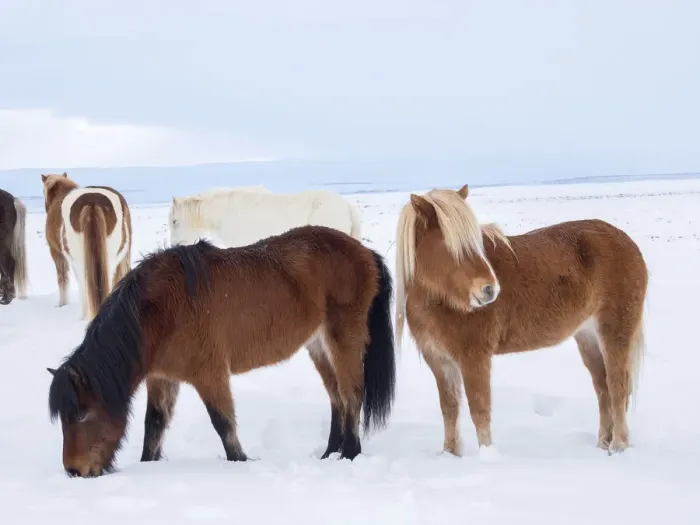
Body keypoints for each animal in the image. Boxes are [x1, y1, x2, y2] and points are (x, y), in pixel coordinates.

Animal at [41, 173, 132, 320]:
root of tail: (92, 202)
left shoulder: (57, 253)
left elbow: (62, 279)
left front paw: (62, 304)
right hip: (113, 259)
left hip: (80, 262)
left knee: (84, 288)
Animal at [47, 225, 396, 478]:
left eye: (81, 413)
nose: (74, 471)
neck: (160, 310)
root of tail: (364, 252)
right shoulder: (162, 378)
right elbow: (154, 426)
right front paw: (149, 466)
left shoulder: (210, 374)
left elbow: (223, 423)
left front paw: (241, 462)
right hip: (318, 345)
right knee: (336, 396)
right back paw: (330, 452)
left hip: (344, 339)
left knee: (351, 393)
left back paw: (349, 453)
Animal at [394, 185, 648, 457]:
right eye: (449, 245)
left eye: (476, 243)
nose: (489, 289)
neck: (441, 300)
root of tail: (628, 243)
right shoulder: (439, 361)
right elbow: (449, 409)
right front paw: (450, 455)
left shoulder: (474, 358)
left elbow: (479, 411)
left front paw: (488, 455)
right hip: (588, 338)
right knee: (603, 389)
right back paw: (603, 444)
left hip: (615, 334)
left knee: (617, 388)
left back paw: (618, 446)